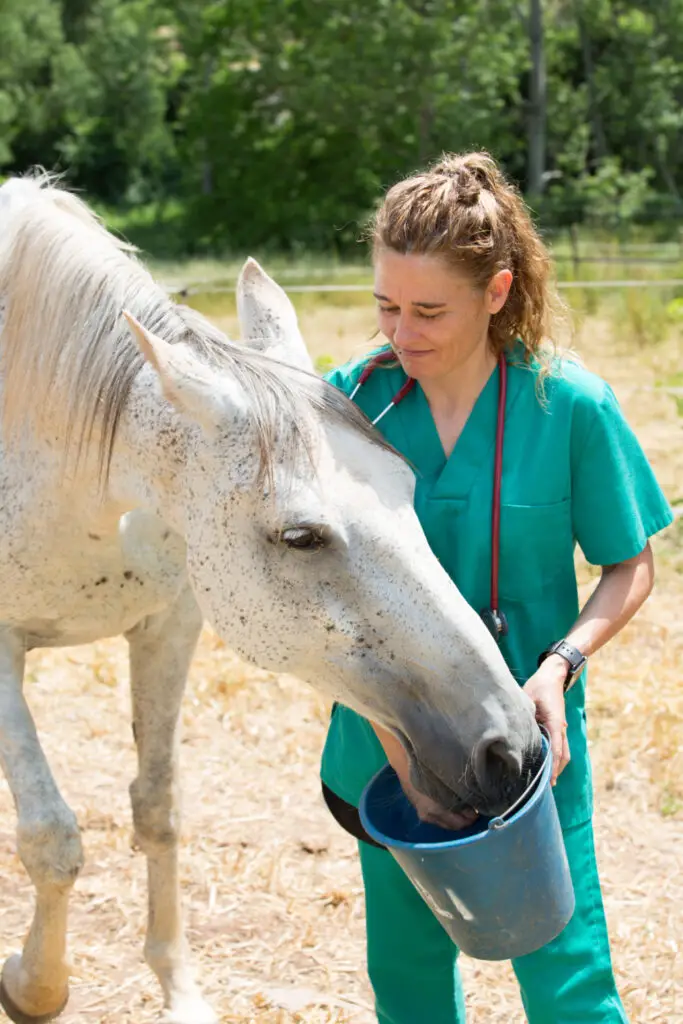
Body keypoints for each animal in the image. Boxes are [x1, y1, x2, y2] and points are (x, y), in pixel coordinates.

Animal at [0, 176, 540, 1024]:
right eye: (300, 537)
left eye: (408, 486)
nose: (508, 747)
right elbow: (51, 838)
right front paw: (32, 984)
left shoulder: (169, 627)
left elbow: (159, 809)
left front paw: (179, 991)